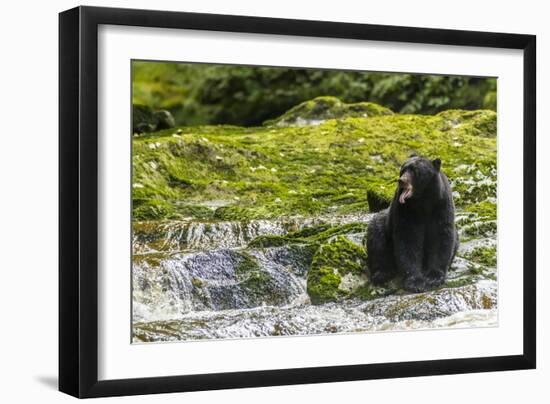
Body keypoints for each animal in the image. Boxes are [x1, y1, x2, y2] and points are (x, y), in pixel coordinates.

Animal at [366, 156, 462, 292]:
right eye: (403, 169)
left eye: (415, 171)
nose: (401, 180)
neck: (422, 200)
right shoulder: (406, 210)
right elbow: (408, 239)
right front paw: (415, 282)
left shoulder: (441, 205)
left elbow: (441, 237)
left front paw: (434, 277)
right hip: (383, 224)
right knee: (377, 239)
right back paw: (382, 273)